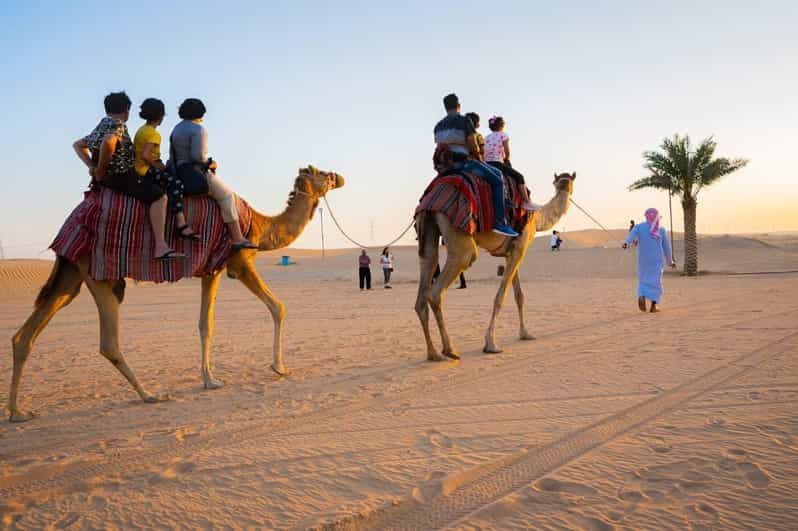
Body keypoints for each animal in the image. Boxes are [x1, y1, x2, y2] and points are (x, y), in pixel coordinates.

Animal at [7, 166, 344, 424]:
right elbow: (278, 307)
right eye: (321, 172)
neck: (261, 227)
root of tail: (72, 219)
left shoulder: (211, 270)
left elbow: (205, 324)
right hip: (99, 273)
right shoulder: (238, 262)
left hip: (71, 272)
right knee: (108, 342)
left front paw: (209, 379)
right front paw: (279, 367)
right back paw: (150, 395)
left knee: (26, 335)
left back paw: (17, 412)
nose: (340, 177)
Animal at [418, 175, 576, 362]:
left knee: (426, 272)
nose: (566, 186)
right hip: (457, 233)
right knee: (437, 290)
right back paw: (449, 350)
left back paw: (433, 353)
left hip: (428, 228)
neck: (536, 218)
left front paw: (525, 334)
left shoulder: (511, 252)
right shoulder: (520, 248)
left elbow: (519, 296)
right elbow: (501, 297)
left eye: (568, 180)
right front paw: (490, 344)